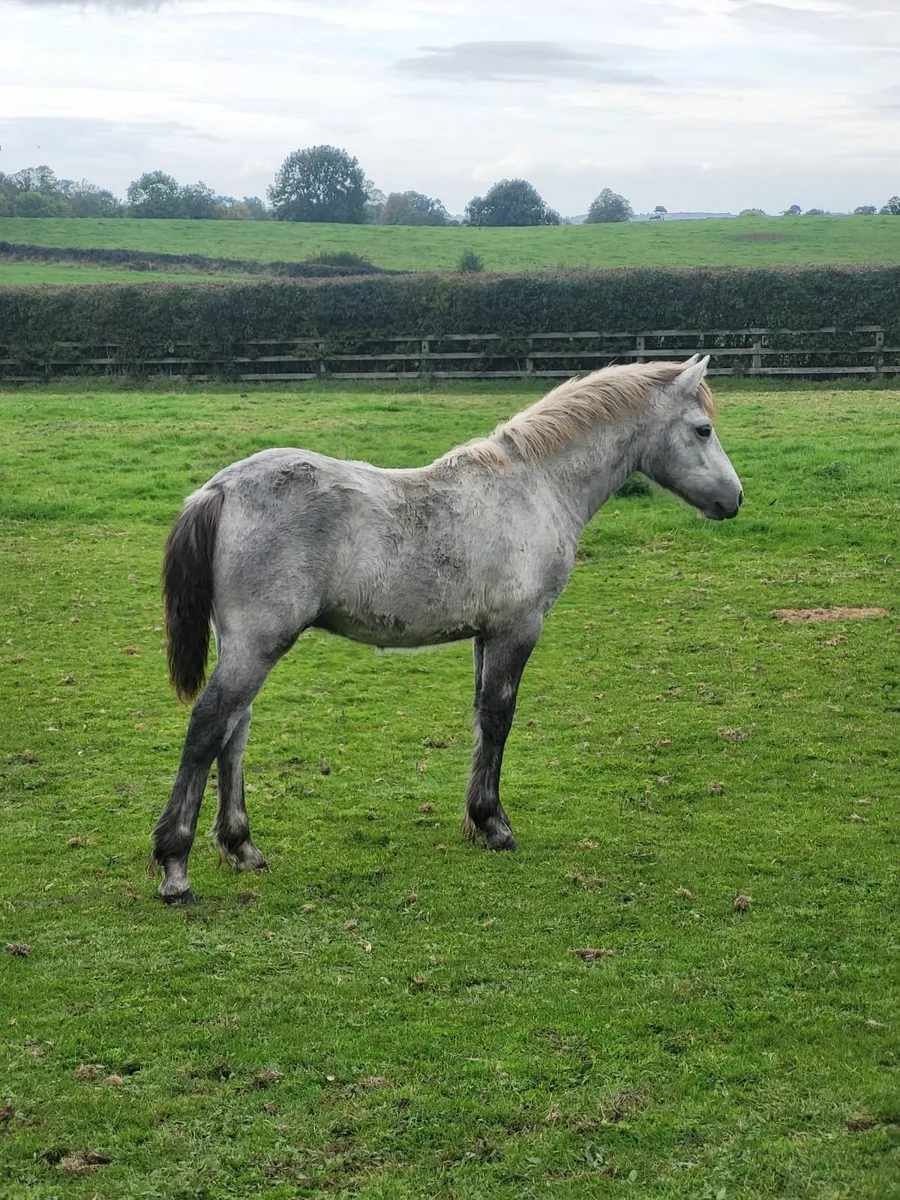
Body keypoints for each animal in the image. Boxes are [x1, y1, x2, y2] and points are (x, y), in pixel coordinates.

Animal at [151, 356, 742, 903]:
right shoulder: (517, 629)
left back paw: (242, 847)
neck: (536, 486)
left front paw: (477, 821)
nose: (735, 499)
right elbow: (500, 717)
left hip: (245, 645)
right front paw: (494, 825)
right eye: (702, 429)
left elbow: (482, 716)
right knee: (209, 725)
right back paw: (175, 867)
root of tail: (219, 490)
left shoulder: (485, 634)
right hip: (259, 644)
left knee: (234, 730)